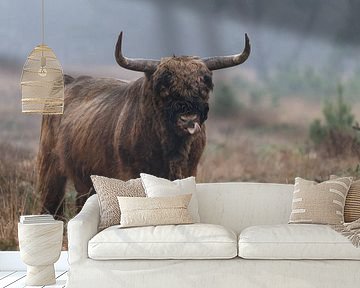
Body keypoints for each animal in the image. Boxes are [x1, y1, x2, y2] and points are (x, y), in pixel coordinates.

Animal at [36, 32, 250, 216]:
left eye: (204, 86)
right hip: (50, 166)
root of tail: (69, 81)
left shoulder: (190, 171)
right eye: (163, 88)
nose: (188, 119)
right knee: (52, 203)